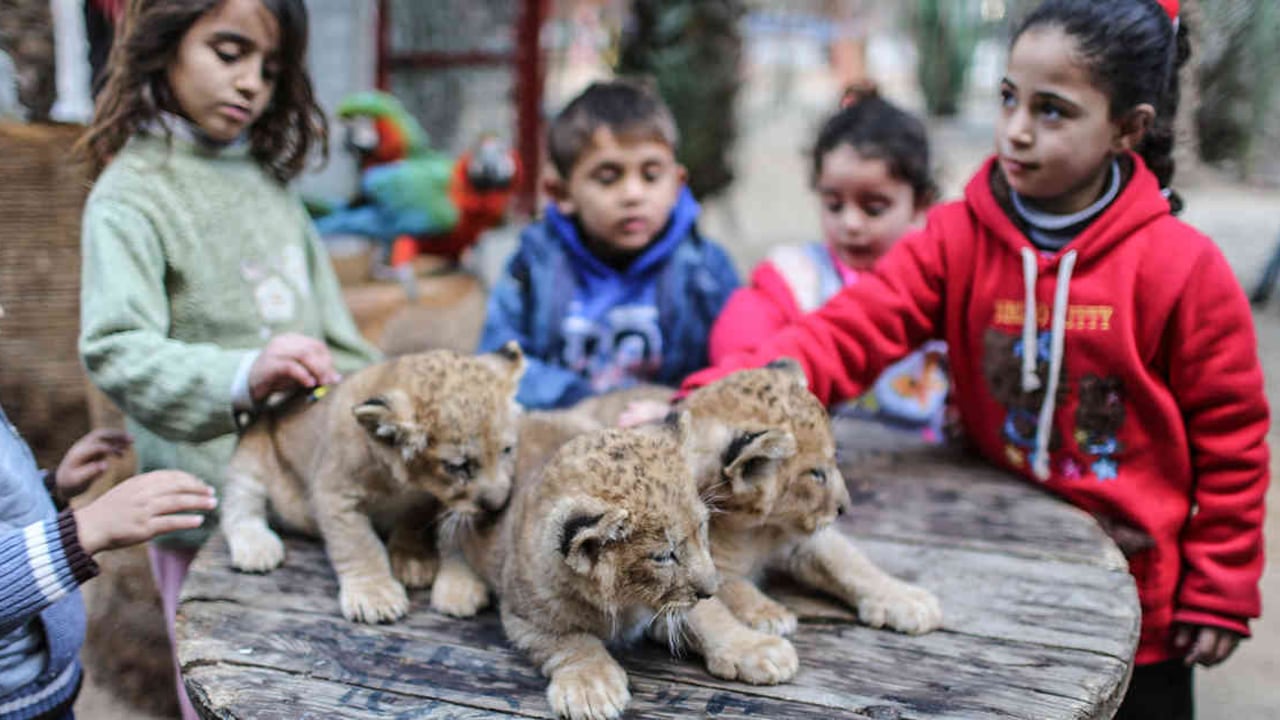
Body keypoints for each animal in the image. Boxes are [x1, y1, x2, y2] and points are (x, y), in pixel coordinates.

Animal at [220, 343, 524, 624]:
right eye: (458, 466)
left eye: (507, 450)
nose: (498, 504)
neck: (403, 483)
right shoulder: (335, 494)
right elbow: (359, 545)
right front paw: (375, 597)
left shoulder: (426, 501)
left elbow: (416, 524)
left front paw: (415, 561)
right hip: (250, 458)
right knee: (238, 507)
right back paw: (257, 548)